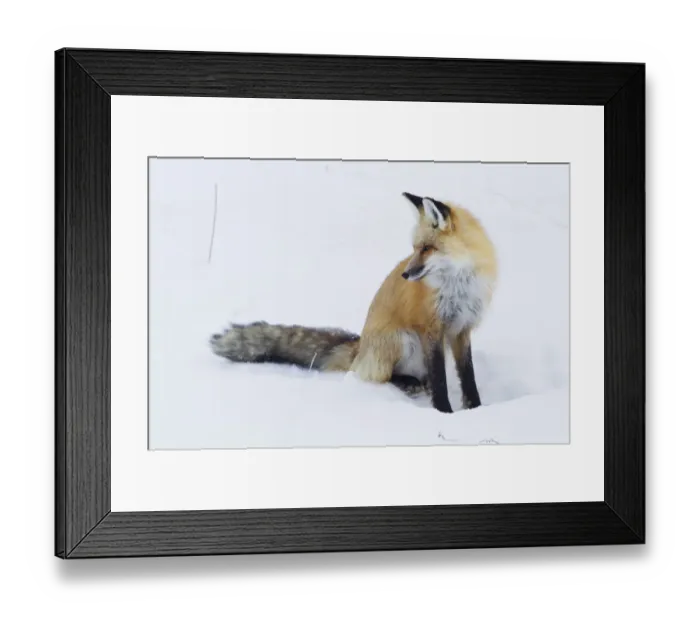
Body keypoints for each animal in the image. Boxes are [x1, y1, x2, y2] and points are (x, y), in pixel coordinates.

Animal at [210, 192, 497, 413]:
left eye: (427, 248)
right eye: (415, 248)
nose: (405, 275)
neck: (459, 284)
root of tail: (360, 346)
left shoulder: (461, 328)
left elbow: (467, 375)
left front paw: (476, 409)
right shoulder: (431, 329)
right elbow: (439, 379)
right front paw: (444, 412)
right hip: (403, 340)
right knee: (374, 378)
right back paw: (407, 383)